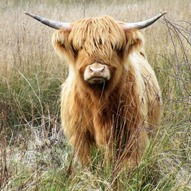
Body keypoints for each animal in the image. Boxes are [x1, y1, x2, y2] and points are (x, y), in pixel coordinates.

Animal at [25, 11, 166, 167]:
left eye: (114, 45)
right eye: (79, 46)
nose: (97, 70)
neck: (99, 98)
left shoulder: (134, 130)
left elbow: (127, 162)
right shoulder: (80, 136)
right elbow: (88, 164)